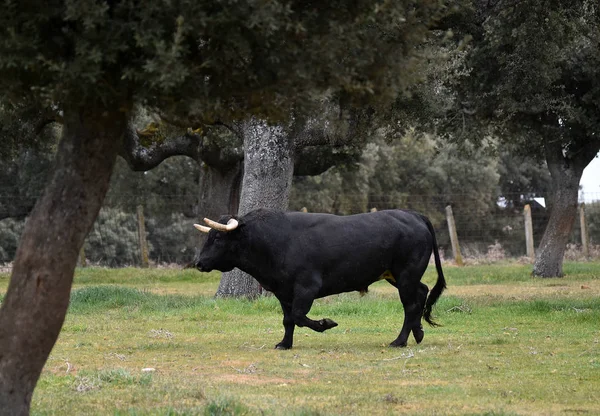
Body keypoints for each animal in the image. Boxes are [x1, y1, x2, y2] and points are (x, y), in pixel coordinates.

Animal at [195, 208, 448, 348]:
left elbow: (299, 316)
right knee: (422, 292)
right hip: (398, 276)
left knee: (410, 305)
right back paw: (418, 333)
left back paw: (400, 341)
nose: (199, 263)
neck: (275, 240)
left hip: (406, 275)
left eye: (217, 238)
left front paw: (326, 324)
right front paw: (284, 344)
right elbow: (288, 319)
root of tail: (413, 215)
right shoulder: (282, 291)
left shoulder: (307, 288)